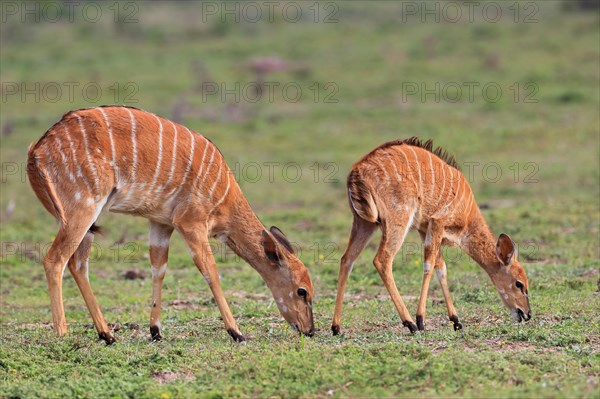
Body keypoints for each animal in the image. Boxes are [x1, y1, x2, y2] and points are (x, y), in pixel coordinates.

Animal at [26, 105, 316, 344]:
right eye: (302, 291)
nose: (310, 330)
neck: (224, 194)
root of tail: (35, 151)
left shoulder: (160, 223)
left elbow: (159, 268)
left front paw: (155, 331)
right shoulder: (191, 223)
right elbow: (210, 271)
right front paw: (237, 332)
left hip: (87, 219)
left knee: (78, 263)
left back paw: (107, 334)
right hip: (82, 209)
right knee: (55, 259)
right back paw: (62, 333)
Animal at [330, 139, 532, 336]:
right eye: (519, 283)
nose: (527, 314)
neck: (467, 215)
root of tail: (356, 172)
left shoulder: (424, 228)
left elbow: (441, 267)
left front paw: (456, 321)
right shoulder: (437, 223)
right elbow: (429, 264)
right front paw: (421, 320)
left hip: (364, 223)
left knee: (347, 259)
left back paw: (336, 327)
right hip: (397, 220)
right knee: (382, 259)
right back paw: (410, 323)